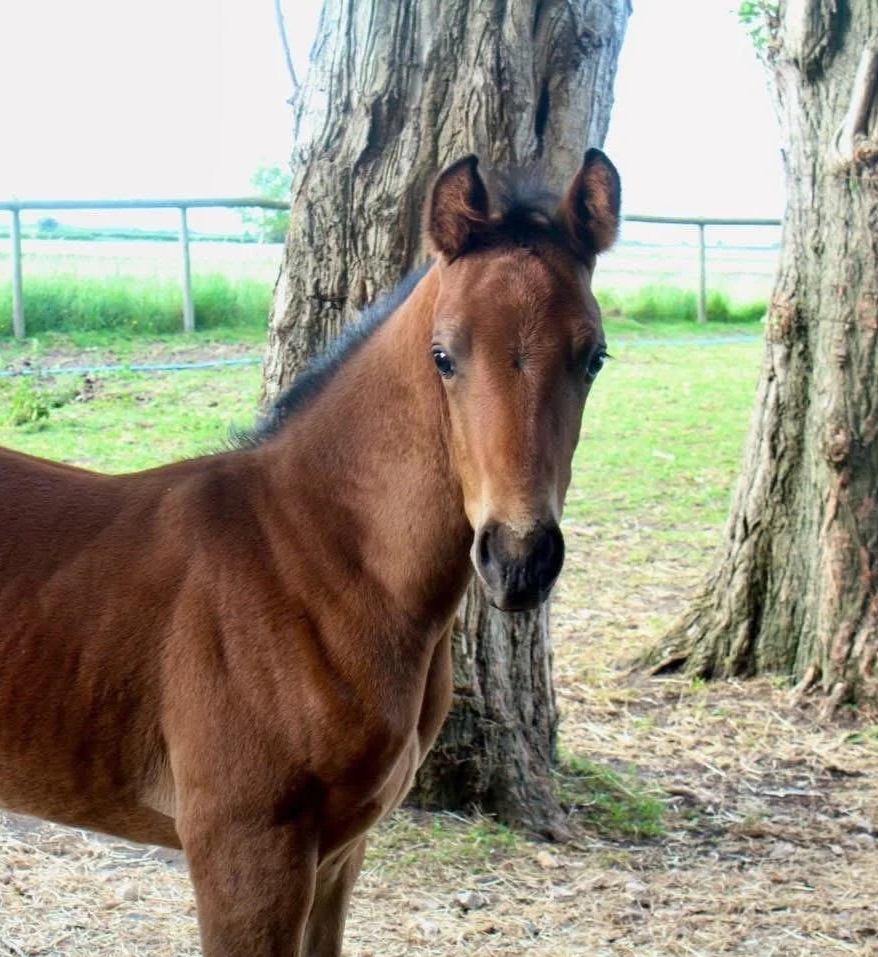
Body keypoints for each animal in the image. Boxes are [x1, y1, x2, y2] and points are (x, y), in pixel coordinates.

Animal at [0, 149, 620, 956]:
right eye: (444, 355)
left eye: (594, 357)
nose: (518, 558)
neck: (312, 560)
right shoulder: (244, 851)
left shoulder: (338, 852)